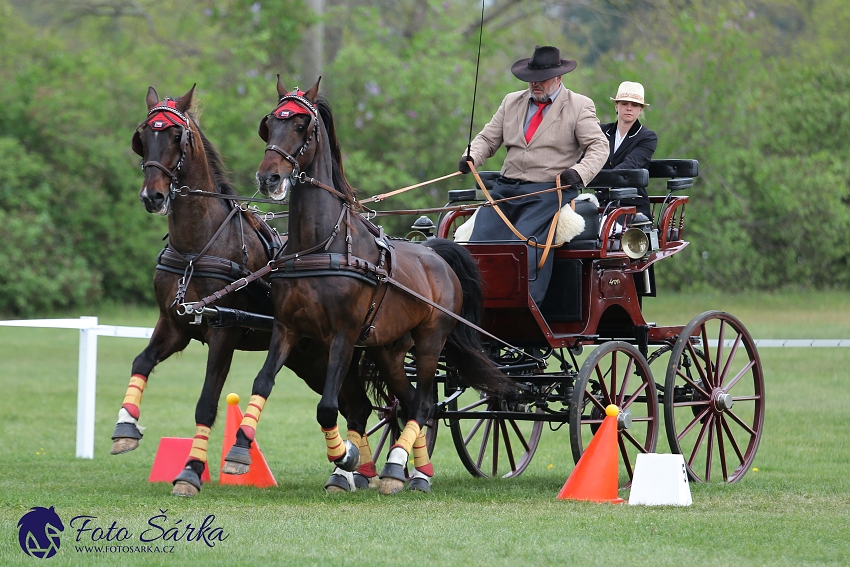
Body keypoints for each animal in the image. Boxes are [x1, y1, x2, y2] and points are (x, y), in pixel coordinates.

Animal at [113, 85, 378, 496]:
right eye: (143, 137)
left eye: (175, 136)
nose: (152, 197)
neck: (199, 246)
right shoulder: (174, 324)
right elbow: (141, 361)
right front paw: (126, 425)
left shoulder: (223, 332)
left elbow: (207, 402)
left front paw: (190, 471)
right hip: (310, 357)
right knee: (356, 406)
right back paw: (355, 471)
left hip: (334, 350)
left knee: (357, 406)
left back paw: (356, 470)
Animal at [222, 77, 510, 494]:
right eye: (269, 123)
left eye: (301, 125)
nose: (268, 177)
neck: (320, 246)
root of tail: (436, 254)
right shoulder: (288, 328)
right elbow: (263, 382)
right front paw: (239, 451)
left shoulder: (342, 334)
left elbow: (328, 406)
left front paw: (346, 458)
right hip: (389, 350)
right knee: (408, 402)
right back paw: (414, 469)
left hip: (430, 341)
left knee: (422, 404)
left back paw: (400, 469)